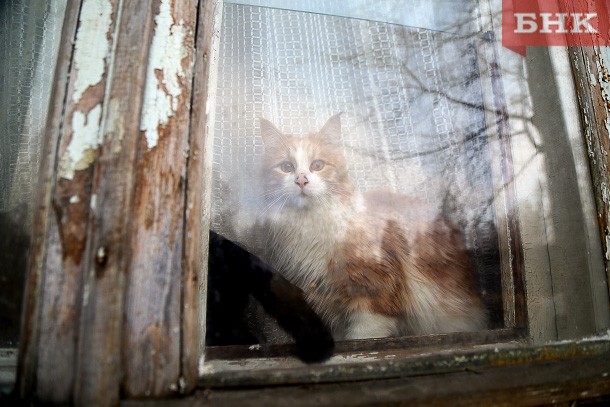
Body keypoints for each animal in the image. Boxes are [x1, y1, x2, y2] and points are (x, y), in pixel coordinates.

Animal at [254, 115, 486, 342]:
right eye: (286, 167)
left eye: (317, 165)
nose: (301, 180)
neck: (310, 226)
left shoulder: (373, 297)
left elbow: (362, 337)